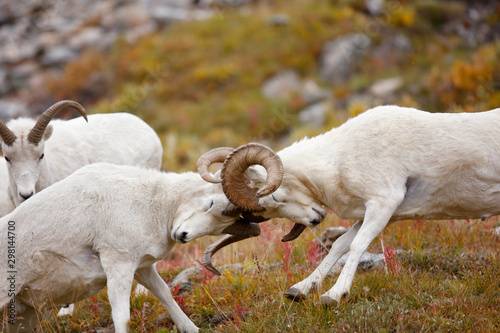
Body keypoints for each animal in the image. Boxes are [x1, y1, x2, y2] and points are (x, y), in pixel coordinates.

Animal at [0, 160, 274, 330]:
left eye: (221, 227)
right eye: (211, 203)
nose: (182, 235)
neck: (151, 202)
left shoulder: (141, 267)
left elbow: (165, 294)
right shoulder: (118, 265)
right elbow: (122, 318)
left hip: (25, 318)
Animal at [198, 105, 500, 304]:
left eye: (275, 197)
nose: (316, 219)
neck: (339, 159)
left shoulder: (383, 204)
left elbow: (356, 245)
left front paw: (333, 295)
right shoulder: (379, 213)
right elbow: (340, 245)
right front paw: (299, 290)